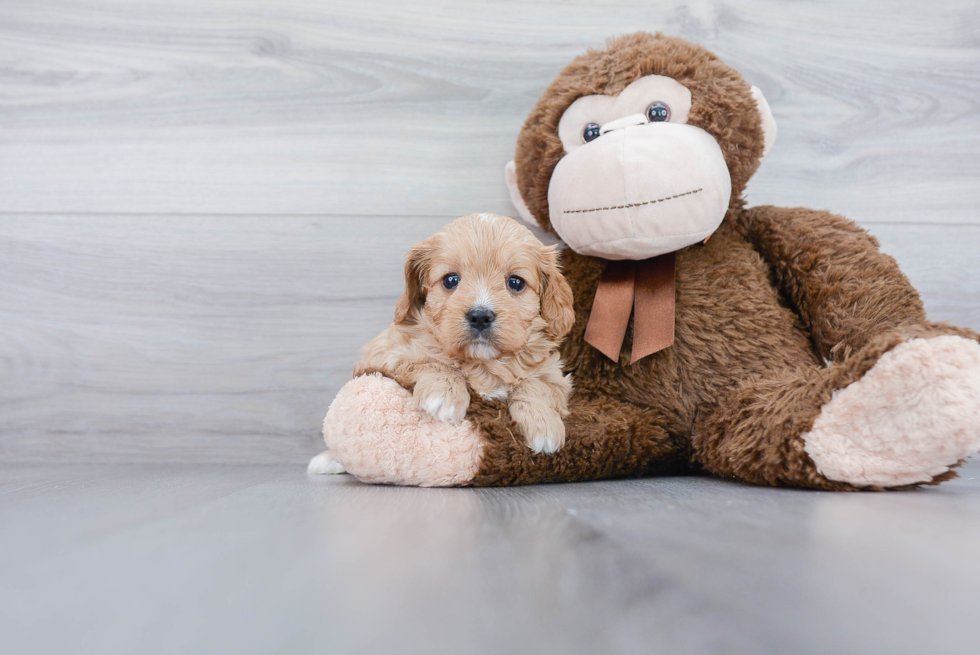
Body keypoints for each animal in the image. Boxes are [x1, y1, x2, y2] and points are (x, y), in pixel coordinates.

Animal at [358, 213, 580, 454]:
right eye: (450, 280)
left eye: (516, 282)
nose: (480, 316)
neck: (483, 363)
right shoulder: (388, 352)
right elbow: (433, 362)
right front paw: (444, 394)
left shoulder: (553, 374)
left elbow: (535, 384)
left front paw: (543, 423)